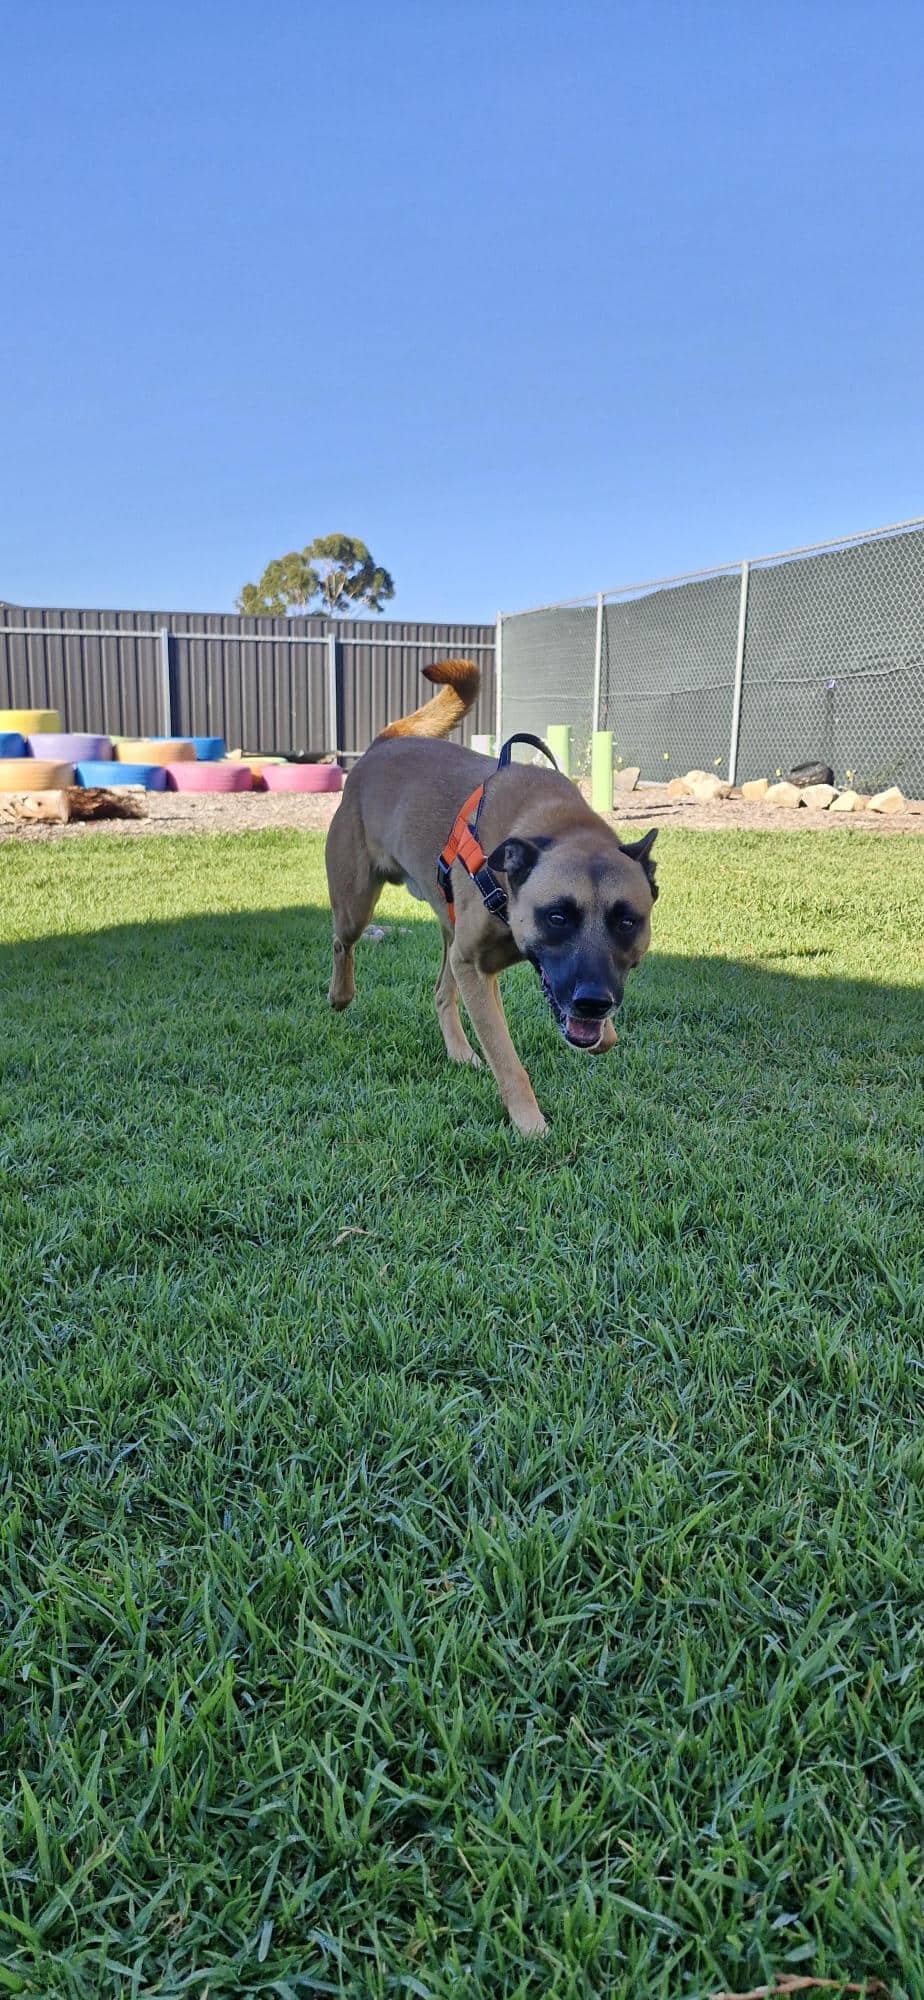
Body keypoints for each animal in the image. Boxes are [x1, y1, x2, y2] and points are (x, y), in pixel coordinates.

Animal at [325, 659, 657, 1136]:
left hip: (449, 933)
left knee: (440, 993)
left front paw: (603, 1035)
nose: (593, 1002)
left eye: (627, 921)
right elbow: (507, 1060)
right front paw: (531, 1125)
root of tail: (380, 747)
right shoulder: (476, 968)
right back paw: (340, 995)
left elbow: (601, 1035)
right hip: (357, 903)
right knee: (342, 941)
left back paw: (460, 1053)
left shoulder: (478, 965)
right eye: (557, 917)